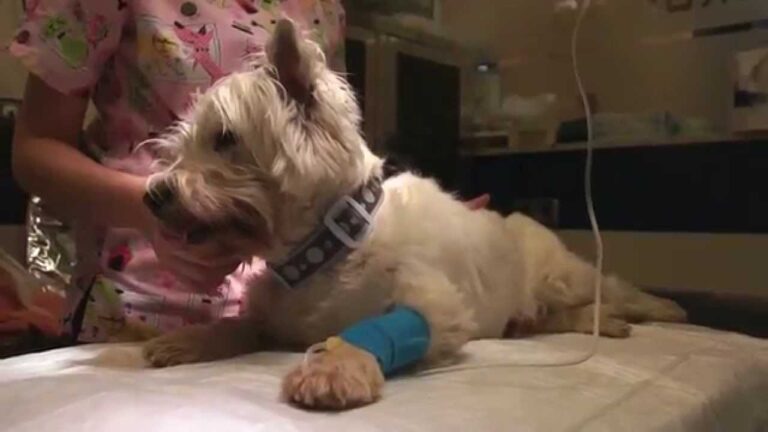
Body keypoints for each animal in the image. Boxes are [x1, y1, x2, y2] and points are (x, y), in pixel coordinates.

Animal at [141, 19, 687, 410]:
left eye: (226, 138)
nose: (153, 196)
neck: (326, 250)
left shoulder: (435, 304)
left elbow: (371, 330)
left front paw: (334, 365)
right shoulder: (273, 320)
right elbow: (238, 325)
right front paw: (190, 338)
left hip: (559, 276)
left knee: (609, 287)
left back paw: (652, 310)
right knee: (553, 318)